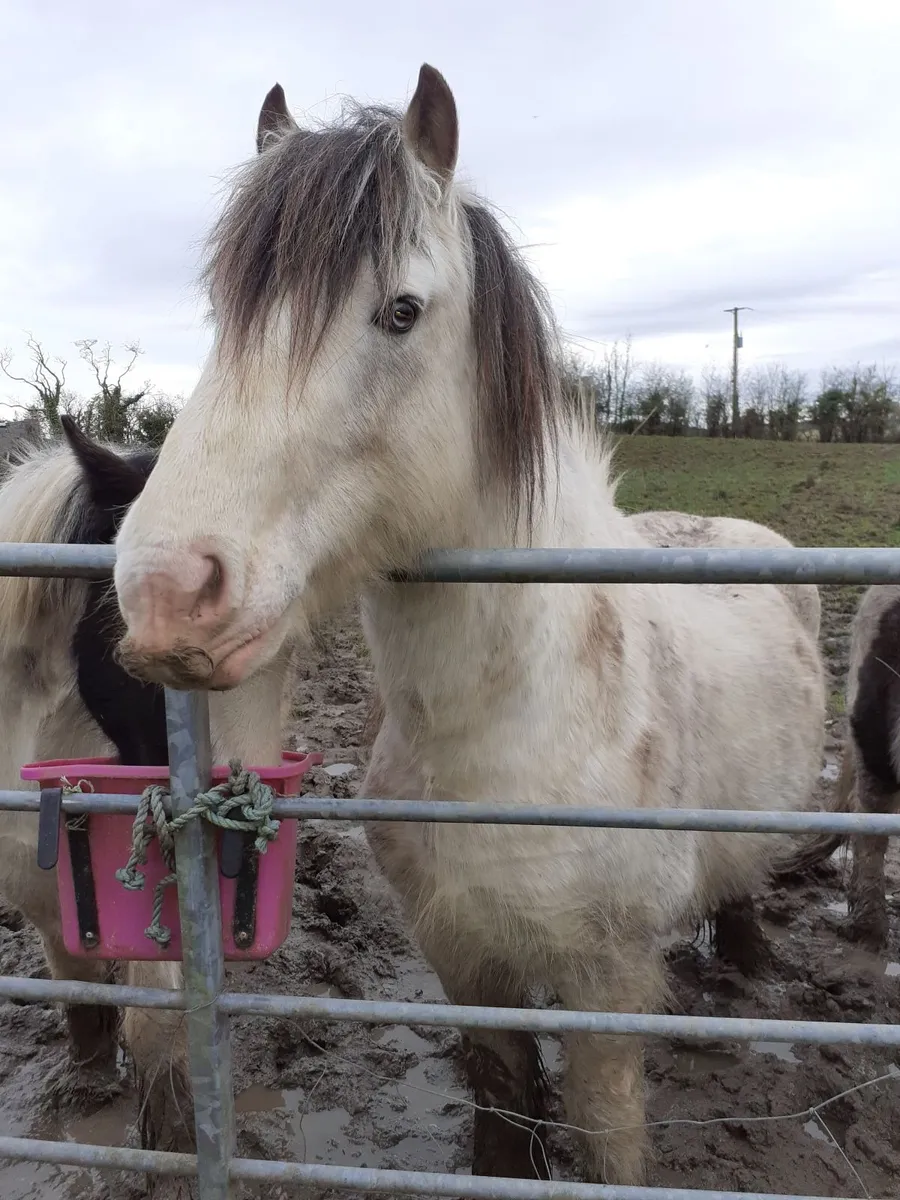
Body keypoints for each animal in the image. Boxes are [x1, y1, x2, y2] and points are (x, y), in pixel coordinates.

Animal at [0, 417, 296, 1153]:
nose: (254, 865)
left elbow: (157, 1025)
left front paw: (177, 1138)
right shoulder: (37, 878)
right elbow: (81, 988)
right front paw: (86, 1086)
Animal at [110, 65, 826, 1185]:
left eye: (401, 310)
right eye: (225, 312)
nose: (167, 592)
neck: (513, 722)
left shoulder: (606, 987)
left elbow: (607, 1137)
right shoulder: (464, 959)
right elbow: (501, 1102)